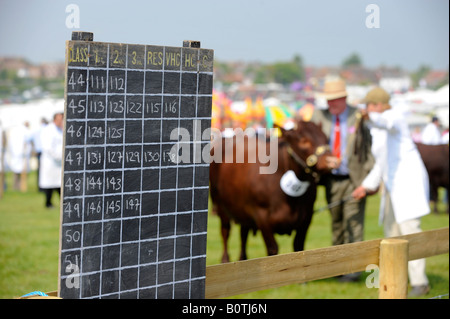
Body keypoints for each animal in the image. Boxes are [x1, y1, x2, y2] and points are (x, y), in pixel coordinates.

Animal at [210, 121, 338, 264]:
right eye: (303, 141)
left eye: (326, 138)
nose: (332, 161)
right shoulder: (261, 216)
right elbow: (272, 249)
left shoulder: (307, 217)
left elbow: (298, 246)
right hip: (219, 202)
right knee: (225, 231)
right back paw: (225, 259)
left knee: (243, 233)